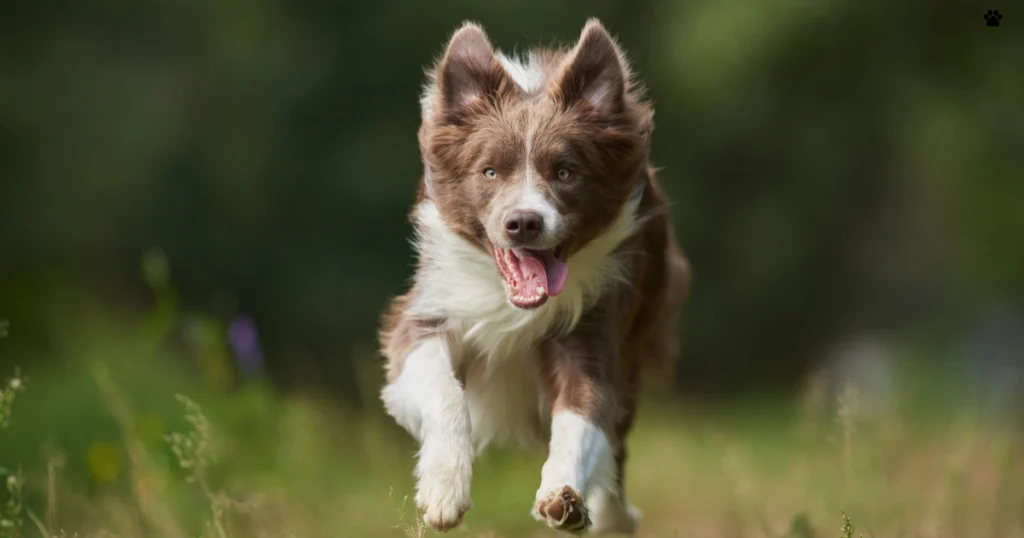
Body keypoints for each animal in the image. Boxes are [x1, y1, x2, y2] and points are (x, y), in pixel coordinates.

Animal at [376, 17, 688, 532]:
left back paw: (611, 516)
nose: (523, 222)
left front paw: (563, 496)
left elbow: (582, 417)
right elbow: (445, 393)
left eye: (565, 171)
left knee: (617, 442)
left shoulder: (594, 330)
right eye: (489, 172)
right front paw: (444, 490)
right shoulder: (424, 315)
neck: (512, 303)